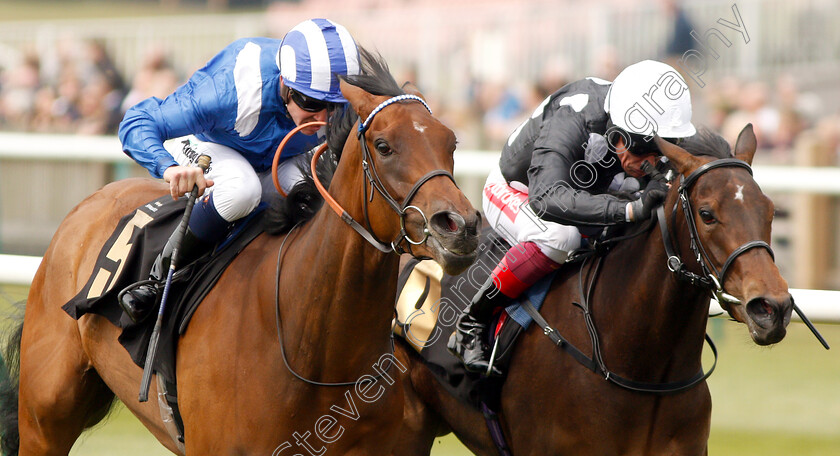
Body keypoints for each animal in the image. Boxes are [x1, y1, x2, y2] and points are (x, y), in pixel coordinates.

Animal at [0, 48, 480, 454]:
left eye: (451, 143)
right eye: (384, 146)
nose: (460, 226)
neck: (314, 348)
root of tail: (89, 202)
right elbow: (144, 116)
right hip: (45, 416)